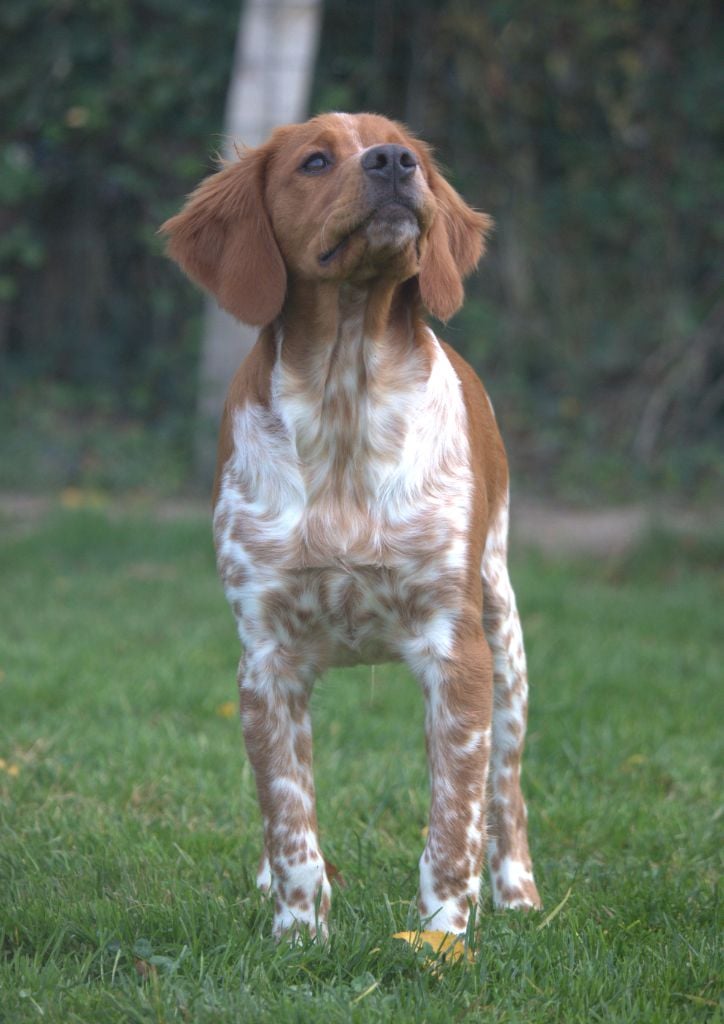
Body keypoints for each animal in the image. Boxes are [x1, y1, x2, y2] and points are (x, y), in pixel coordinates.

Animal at [161, 110, 540, 937]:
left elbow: (453, 818)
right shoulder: (265, 660)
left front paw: (441, 938)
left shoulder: (456, 650)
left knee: (504, 786)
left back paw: (518, 892)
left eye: (404, 147)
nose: (394, 162)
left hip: (505, 632)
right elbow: (288, 816)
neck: (345, 401)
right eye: (313, 161)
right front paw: (299, 935)